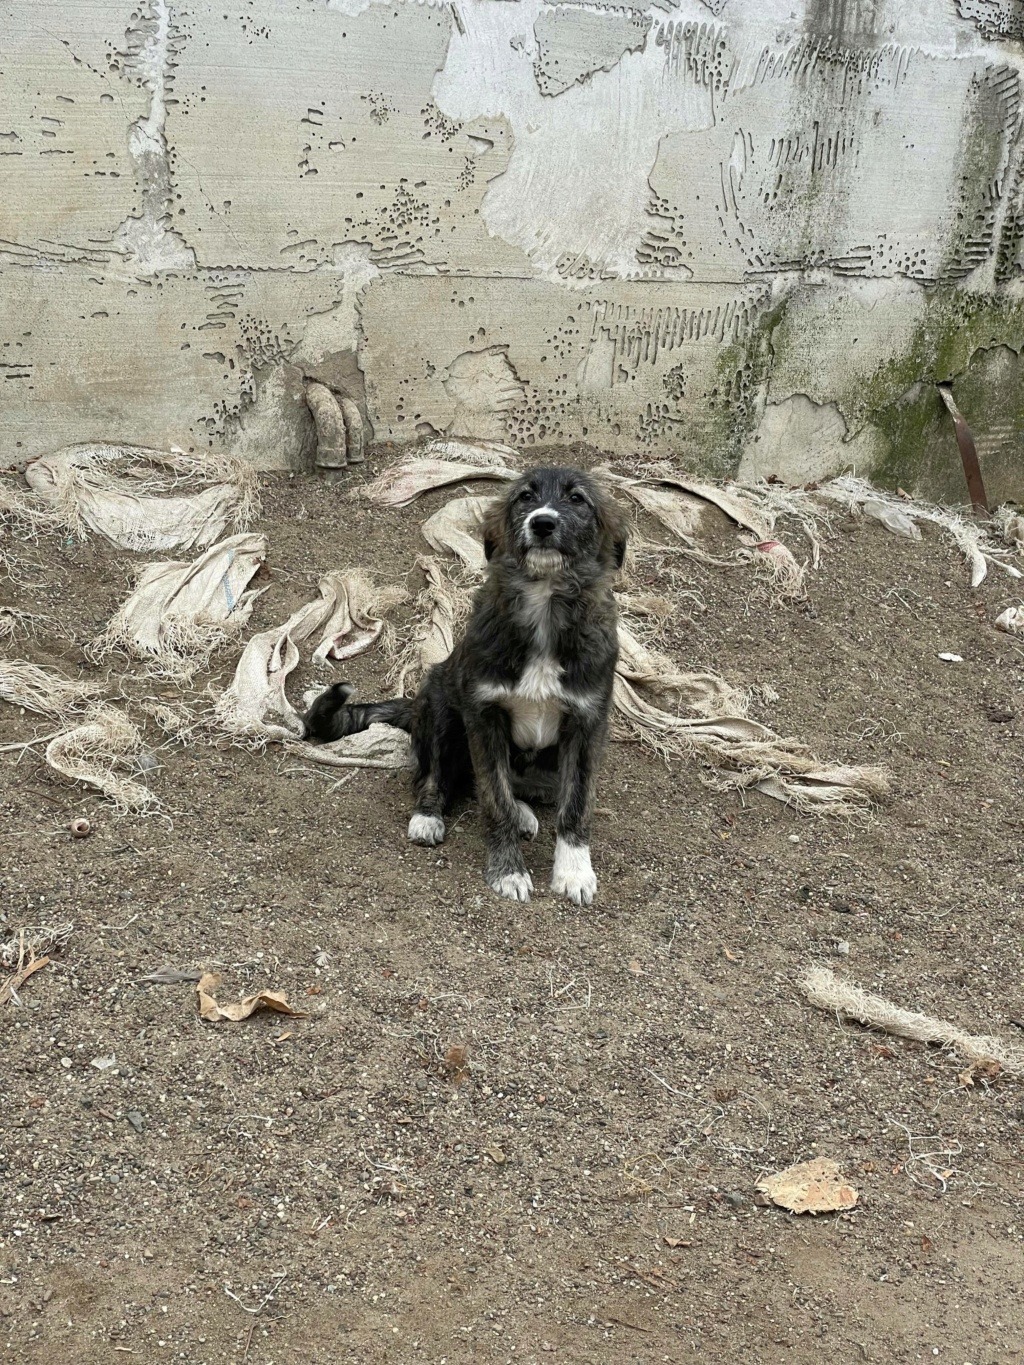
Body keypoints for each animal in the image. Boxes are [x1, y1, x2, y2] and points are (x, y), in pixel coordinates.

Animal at [303, 469, 625, 906]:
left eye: (577, 499)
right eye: (525, 497)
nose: (542, 523)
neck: (545, 606)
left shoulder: (587, 721)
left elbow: (575, 803)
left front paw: (574, 872)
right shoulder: (483, 716)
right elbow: (494, 797)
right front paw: (508, 871)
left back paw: (526, 812)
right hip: (441, 710)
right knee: (438, 778)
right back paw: (429, 816)